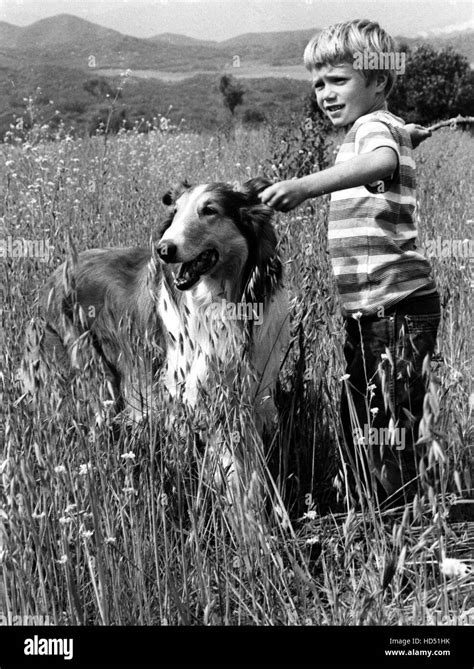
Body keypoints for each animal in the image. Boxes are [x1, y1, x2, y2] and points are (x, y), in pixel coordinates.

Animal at [20, 179, 288, 486]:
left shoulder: (249, 393)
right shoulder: (185, 391)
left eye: (210, 210)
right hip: (93, 374)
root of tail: (55, 276)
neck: (219, 303)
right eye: (176, 211)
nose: (163, 250)